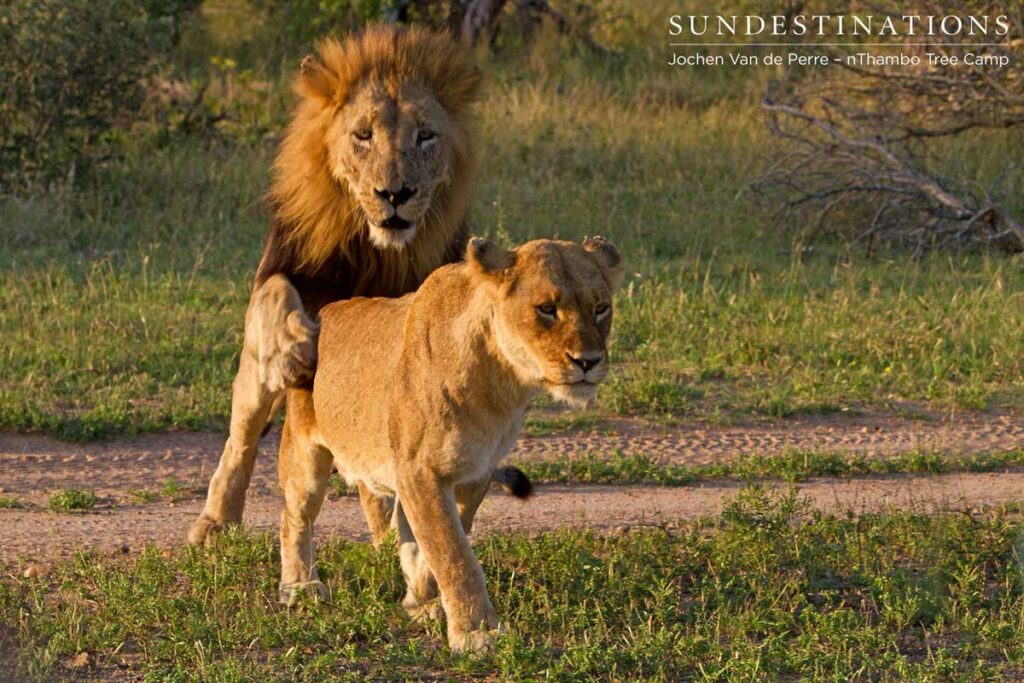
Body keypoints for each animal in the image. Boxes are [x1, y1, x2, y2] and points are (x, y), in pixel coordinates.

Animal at [190, 26, 498, 546]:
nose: (395, 194)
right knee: (242, 437)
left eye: (425, 136)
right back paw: (215, 520)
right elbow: (278, 296)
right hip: (252, 380)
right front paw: (294, 351)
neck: (378, 252)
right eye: (363, 135)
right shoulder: (282, 268)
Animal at [277, 236, 624, 653]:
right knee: (294, 518)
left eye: (601, 307)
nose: (589, 361)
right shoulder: (419, 470)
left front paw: (421, 599)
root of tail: (325, 312)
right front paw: (476, 632)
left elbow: (438, 544)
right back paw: (300, 587)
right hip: (305, 452)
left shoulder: (476, 472)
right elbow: (453, 553)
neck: (499, 382)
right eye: (546, 309)